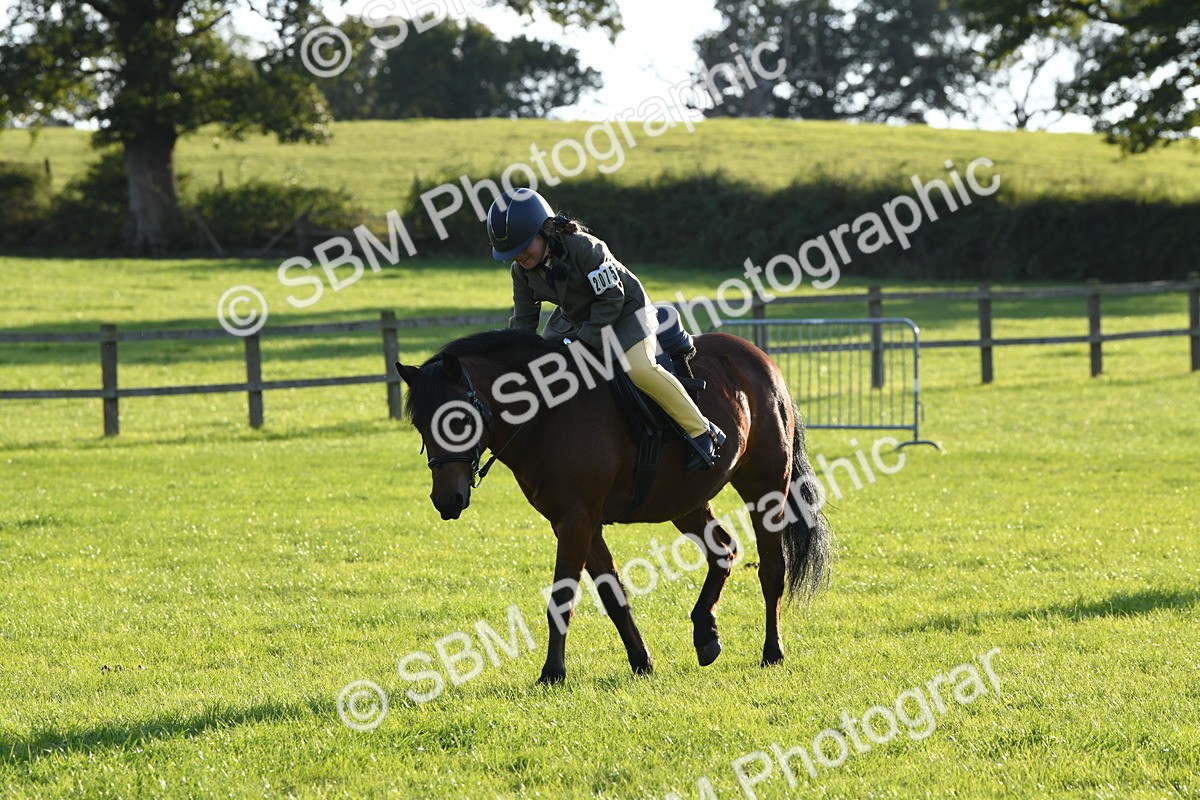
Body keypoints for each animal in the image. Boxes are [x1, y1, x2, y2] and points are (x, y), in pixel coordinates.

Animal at [395, 328, 832, 684]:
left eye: (456, 421)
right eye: (420, 425)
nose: (446, 499)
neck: (547, 414)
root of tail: (760, 360)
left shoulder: (576, 522)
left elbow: (561, 600)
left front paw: (553, 672)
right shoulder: (578, 523)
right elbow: (613, 594)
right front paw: (641, 661)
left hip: (765, 488)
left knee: (772, 570)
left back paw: (772, 651)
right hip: (685, 504)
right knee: (723, 551)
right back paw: (705, 632)